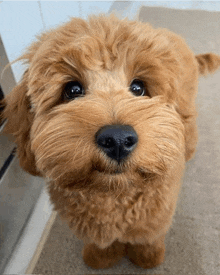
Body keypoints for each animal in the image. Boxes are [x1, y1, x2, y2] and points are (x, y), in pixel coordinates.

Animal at [1, 14, 220, 270]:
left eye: (138, 87)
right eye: (72, 90)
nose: (117, 139)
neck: (113, 194)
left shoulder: (155, 220)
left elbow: (148, 239)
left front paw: (148, 258)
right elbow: (101, 244)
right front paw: (100, 257)